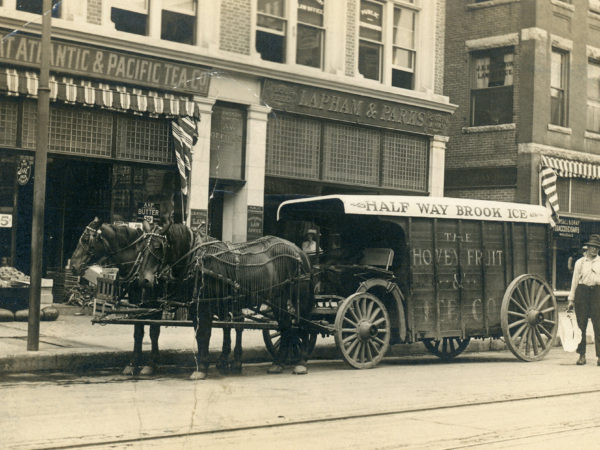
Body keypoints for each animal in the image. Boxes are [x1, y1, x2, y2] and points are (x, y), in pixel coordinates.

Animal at [136, 221, 314, 380]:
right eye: (141, 248)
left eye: (158, 247)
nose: (144, 280)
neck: (197, 258)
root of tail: (299, 250)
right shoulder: (197, 307)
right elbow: (202, 334)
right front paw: (209, 363)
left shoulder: (205, 306)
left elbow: (205, 334)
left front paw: (202, 367)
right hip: (278, 298)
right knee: (286, 326)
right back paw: (278, 363)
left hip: (299, 294)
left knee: (304, 326)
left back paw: (301, 362)